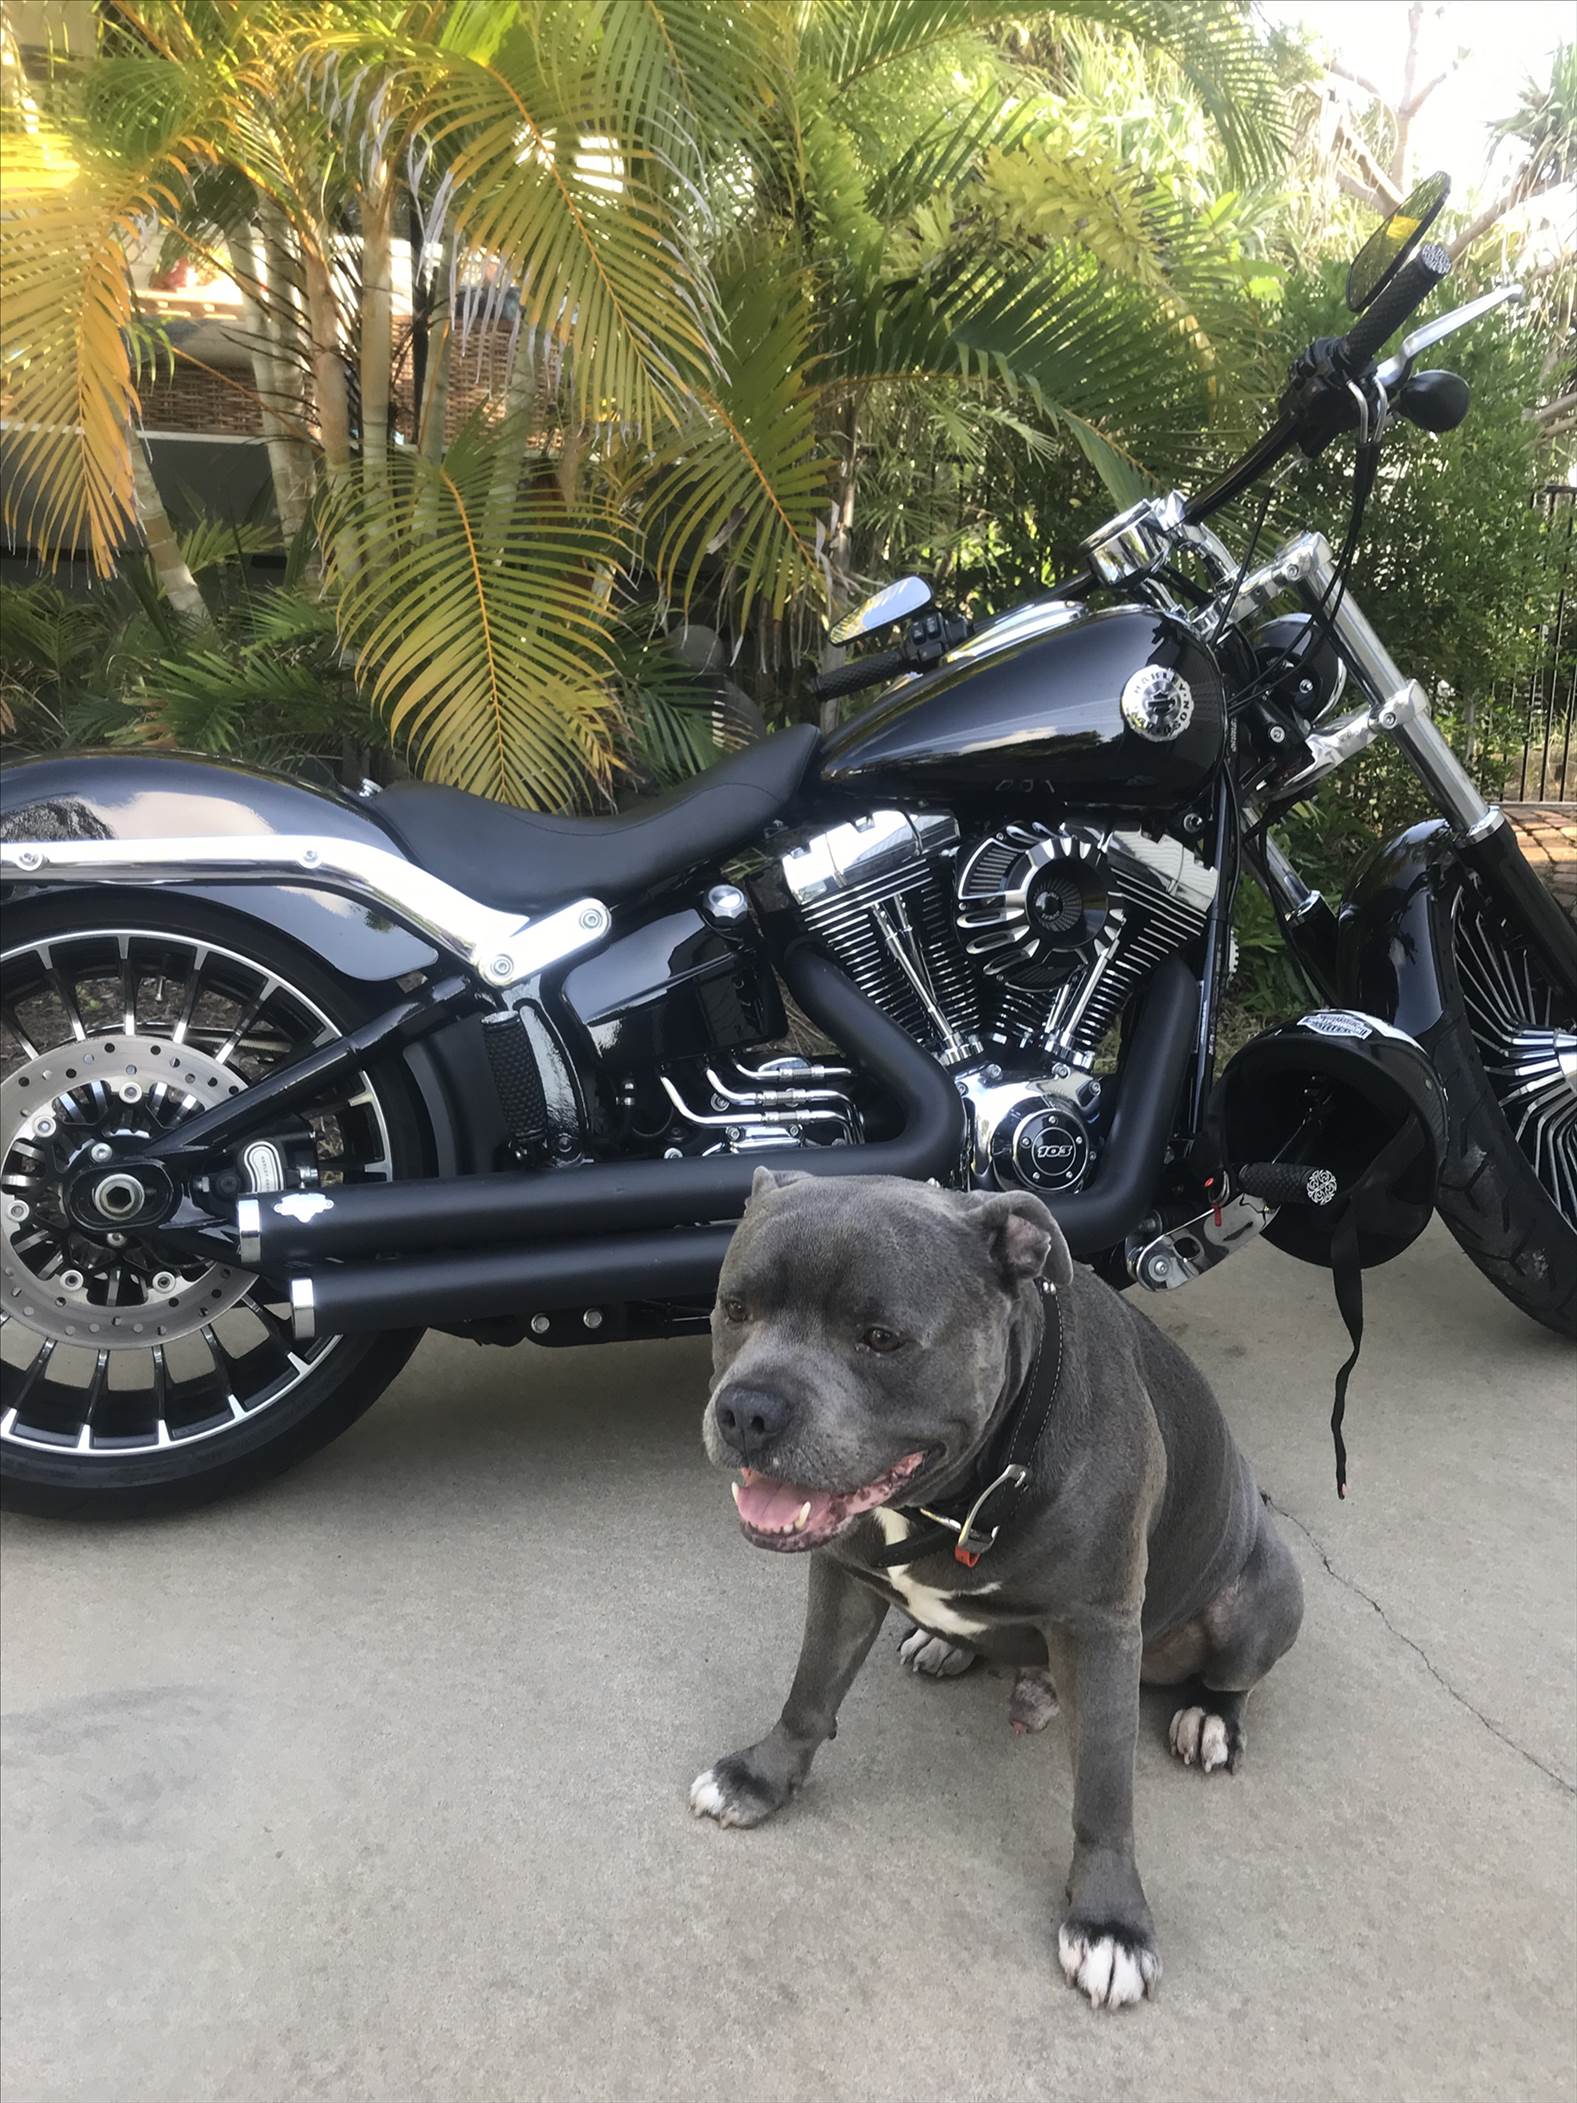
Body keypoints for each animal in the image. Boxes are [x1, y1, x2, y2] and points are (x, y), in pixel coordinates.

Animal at [689, 1170, 1303, 2011]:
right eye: (735, 1306)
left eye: (880, 1337)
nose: (748, 1409)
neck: (962, 1492)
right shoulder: (843, 1573)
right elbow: (809, 1689)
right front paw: (761, 1776)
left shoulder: (1099, 1626)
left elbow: (1104, 1789)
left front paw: (1110, 1921)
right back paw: (951, 1645)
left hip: (1261, 1595)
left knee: (1230, 1673)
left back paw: (1208, 1716)